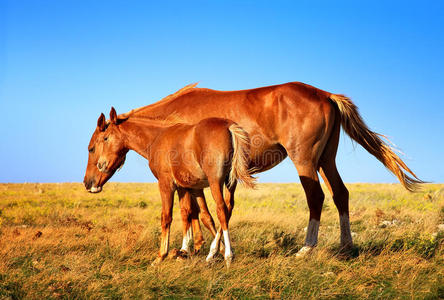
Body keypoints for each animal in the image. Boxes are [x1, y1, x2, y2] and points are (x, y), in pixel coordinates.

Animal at [84, 107, 255, 264]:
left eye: (95, 146)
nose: (88, 183)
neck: (157, 137)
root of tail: (229, 127)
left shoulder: (166, 184)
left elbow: (166, 216)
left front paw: (161, 256)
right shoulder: (184, 186)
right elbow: (187, 213)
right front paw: (184, 250)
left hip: (215, 182)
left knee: (221, 210)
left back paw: (226, 255)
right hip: (230, 182)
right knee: (228, 208)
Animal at [113, 81, 420, 255]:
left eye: (100, 141)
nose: (97, 177)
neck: (172, 124)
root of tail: (326, 95)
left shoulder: (195, 178)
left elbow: (196, 210)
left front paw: (194, 248)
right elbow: (206, 210)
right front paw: (203, 247)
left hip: (305, 161)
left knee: (316, 197)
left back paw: (306, 249)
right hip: (325, 160)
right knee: (340, 194)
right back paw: (345, 247)